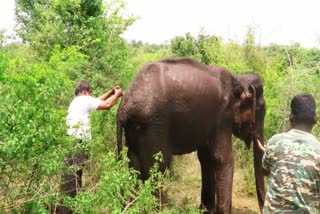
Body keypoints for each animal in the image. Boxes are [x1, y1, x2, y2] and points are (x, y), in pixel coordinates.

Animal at [116, 57, 266, 213]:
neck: (238, 79)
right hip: (152, 126)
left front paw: (206, 211)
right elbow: (223, 159)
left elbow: (206, 158)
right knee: (157, 167)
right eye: (261, 110)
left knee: (134, 166)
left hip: (134, 130)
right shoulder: (222, 117)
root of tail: (122, 107)